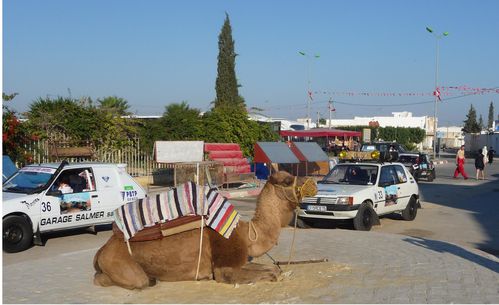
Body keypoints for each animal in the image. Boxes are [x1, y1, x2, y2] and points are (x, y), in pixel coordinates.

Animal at [94, 170, 316, 288]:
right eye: (287, 180)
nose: (312, 183)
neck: (246, 234)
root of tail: (102, 250)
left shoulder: (242, 260)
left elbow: (273, 268)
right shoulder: (224, 265)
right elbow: (269, 274)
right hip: (120, 264)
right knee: (129, 280)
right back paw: (150, 279)